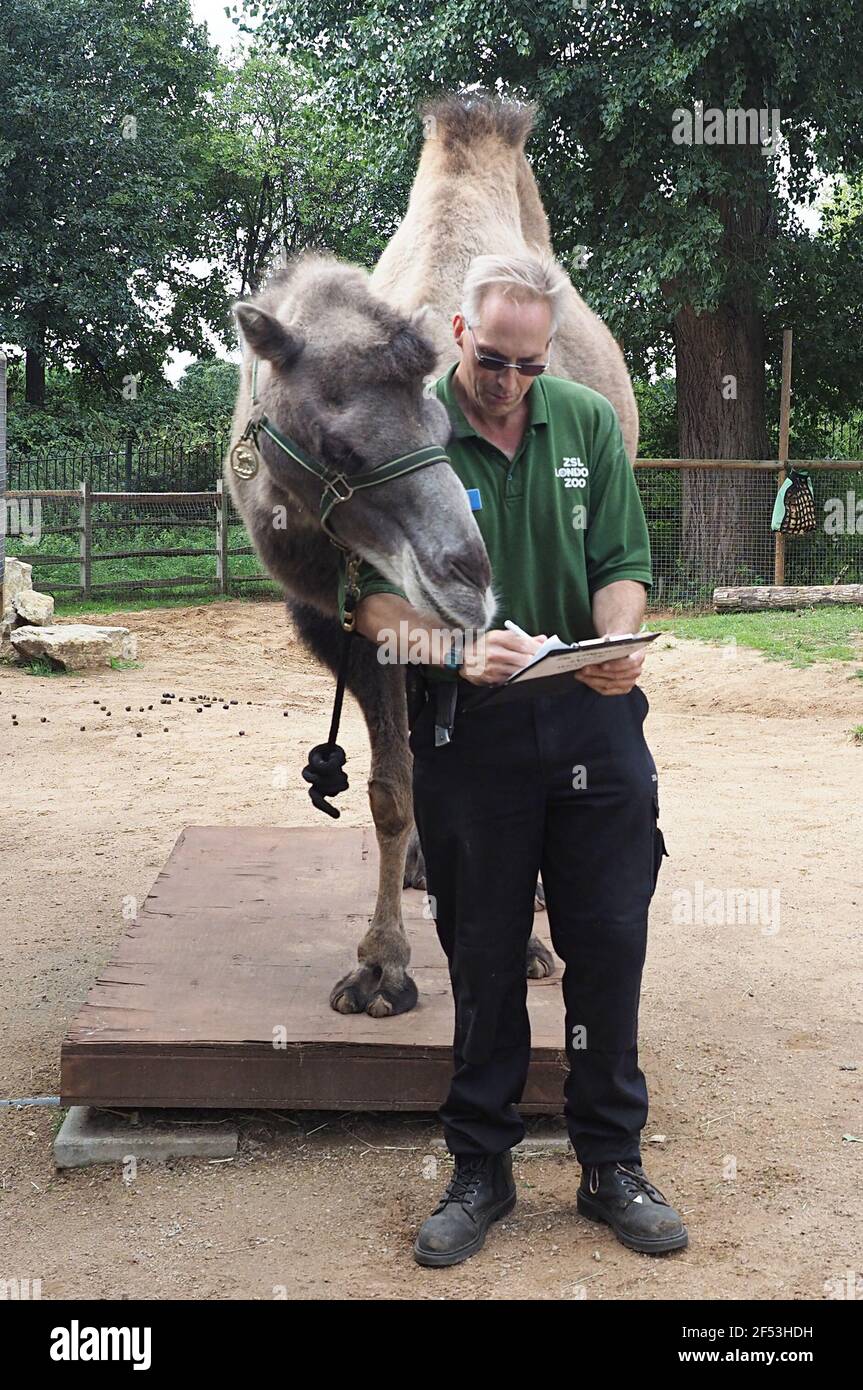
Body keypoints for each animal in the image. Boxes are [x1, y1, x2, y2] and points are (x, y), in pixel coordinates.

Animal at [225, 92, 636, 1017]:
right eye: (338, 448)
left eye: (443, 426)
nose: (469, 577)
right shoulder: (336, 622)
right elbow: (388, 787)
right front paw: (382, 966)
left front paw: (518, 946)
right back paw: (421, 870)